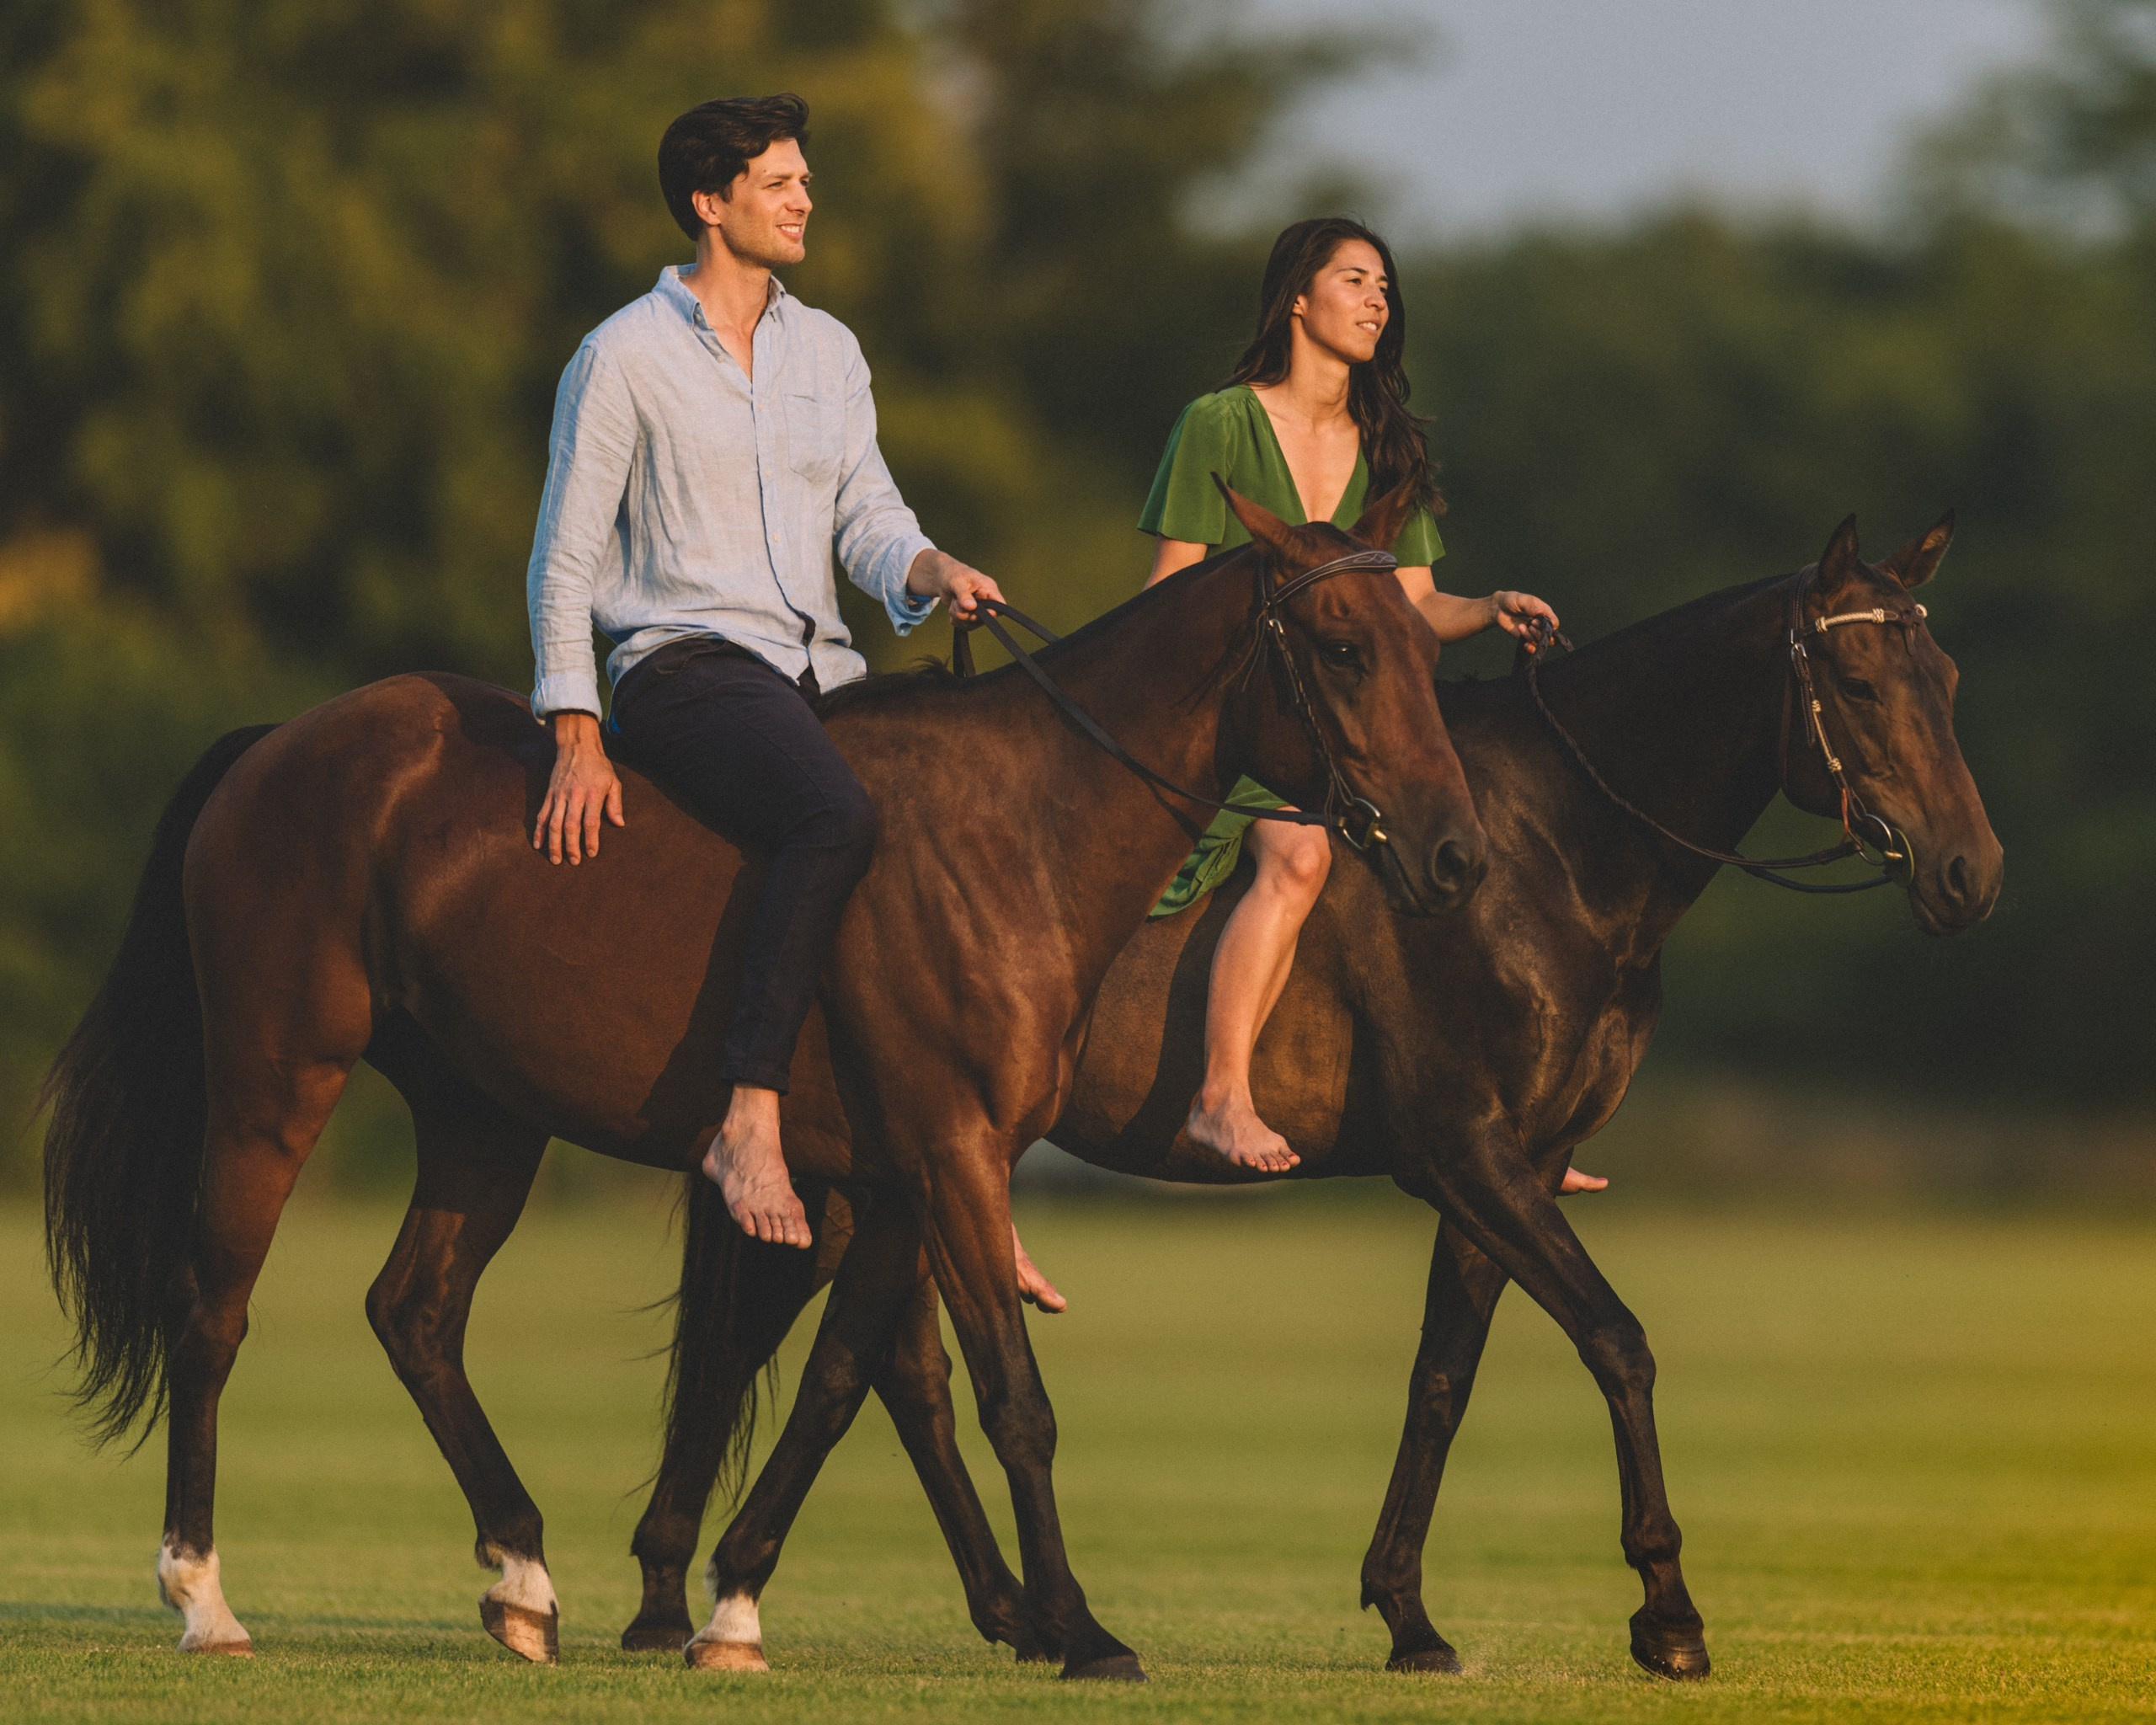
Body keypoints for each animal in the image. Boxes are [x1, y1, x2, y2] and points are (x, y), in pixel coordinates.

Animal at [39, 484, 1487, 1681]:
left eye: (1427, 654)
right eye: (1344, 649)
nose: (1456, 856)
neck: (1019, 830)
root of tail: (283, 741)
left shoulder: (902, 1178)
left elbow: (847, 1382)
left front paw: (733, 1605)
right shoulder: (955, 1156)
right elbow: (1012, 1400)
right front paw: (1079, 1629)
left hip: (483, 1117)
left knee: (416, 1313)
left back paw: (523, 1576)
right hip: (278, 1082)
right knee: (212, 1313)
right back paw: (203, 1597)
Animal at [624, 513, 2002, 1679]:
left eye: (1946, 683)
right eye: (1861, 683)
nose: (1971, 872)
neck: (1544, 849)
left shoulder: (1513, 1166)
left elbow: (1442, 1380)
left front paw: (1407, 1611)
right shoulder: (1465, 1150)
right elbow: (1617, 1340)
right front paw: (1666, 1612)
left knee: (884, 1369)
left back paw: (961, 1606)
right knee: (803, 1356)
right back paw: (689, 1595)